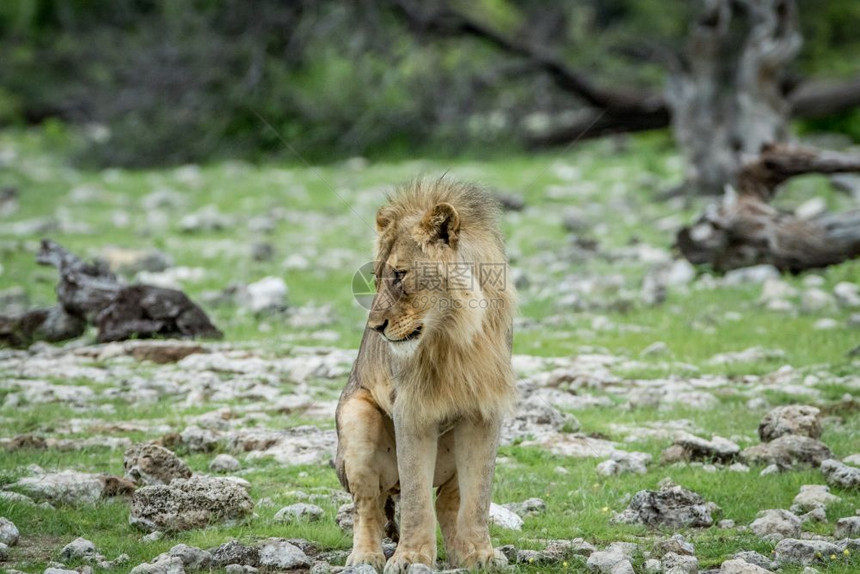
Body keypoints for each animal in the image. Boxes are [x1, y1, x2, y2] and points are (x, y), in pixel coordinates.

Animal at [332, 180, 512, 574]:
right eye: (376, 277)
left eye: (400, 275)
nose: (375, 327)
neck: (453, 333)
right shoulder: (410, 411)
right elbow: (416, 499)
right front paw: (411, 558)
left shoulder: (485, 412)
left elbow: (478, 498)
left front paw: (482, 554)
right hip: (357, 420)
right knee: (367, 505)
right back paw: (365, 556)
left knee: (448, 500)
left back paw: (461, 553)